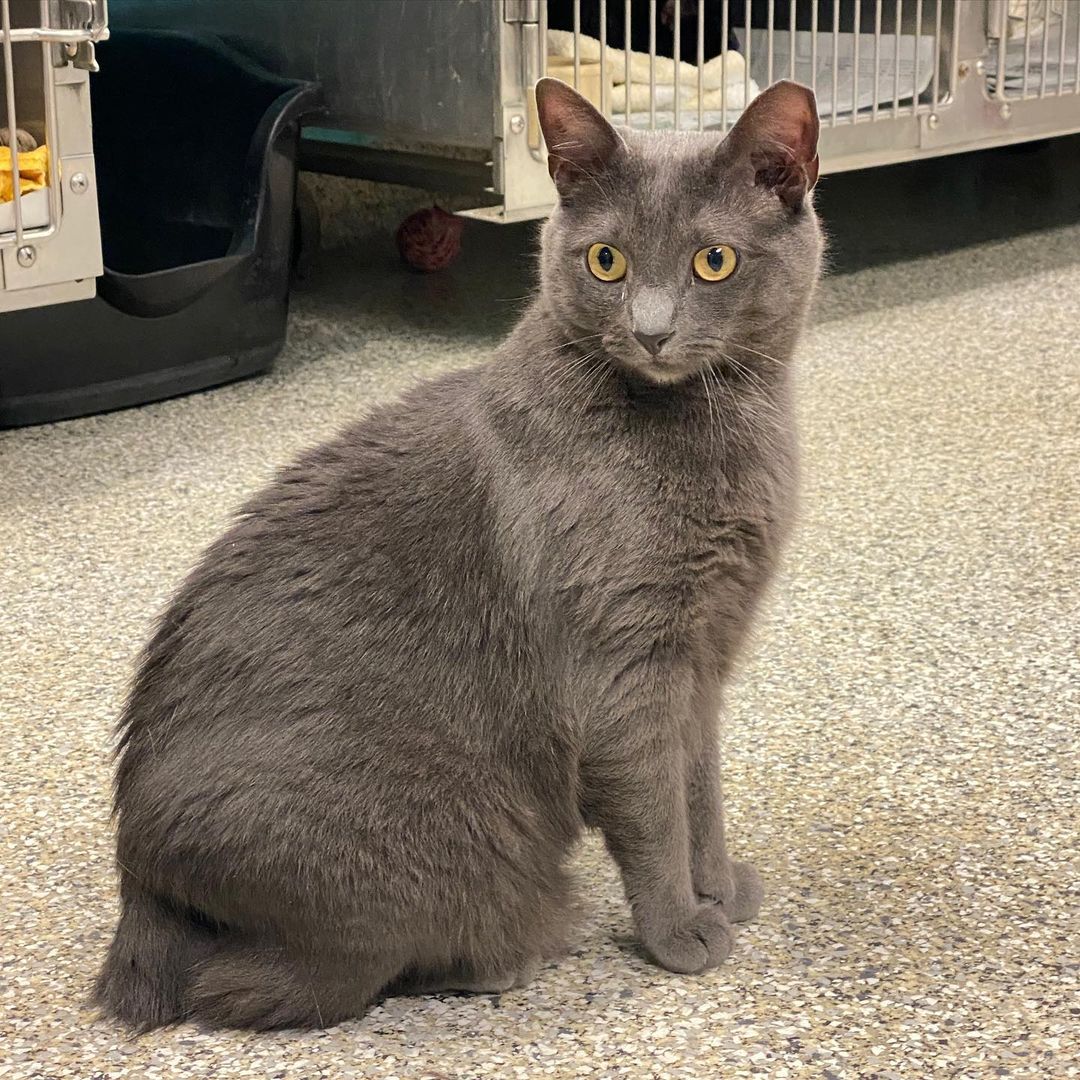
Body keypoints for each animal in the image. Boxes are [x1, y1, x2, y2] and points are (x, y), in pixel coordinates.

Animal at [94, 76, 822, 1032]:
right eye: (606, 262)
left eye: (714, 262)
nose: (653, 331)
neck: (720, 432)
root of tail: (135, 883)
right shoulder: (624, 669)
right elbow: (653, 809)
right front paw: (678, 931)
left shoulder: (702, 658)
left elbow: (699, 791)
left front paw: (720, 887)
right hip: (439, 839)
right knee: (278, 984)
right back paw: (508, 954)